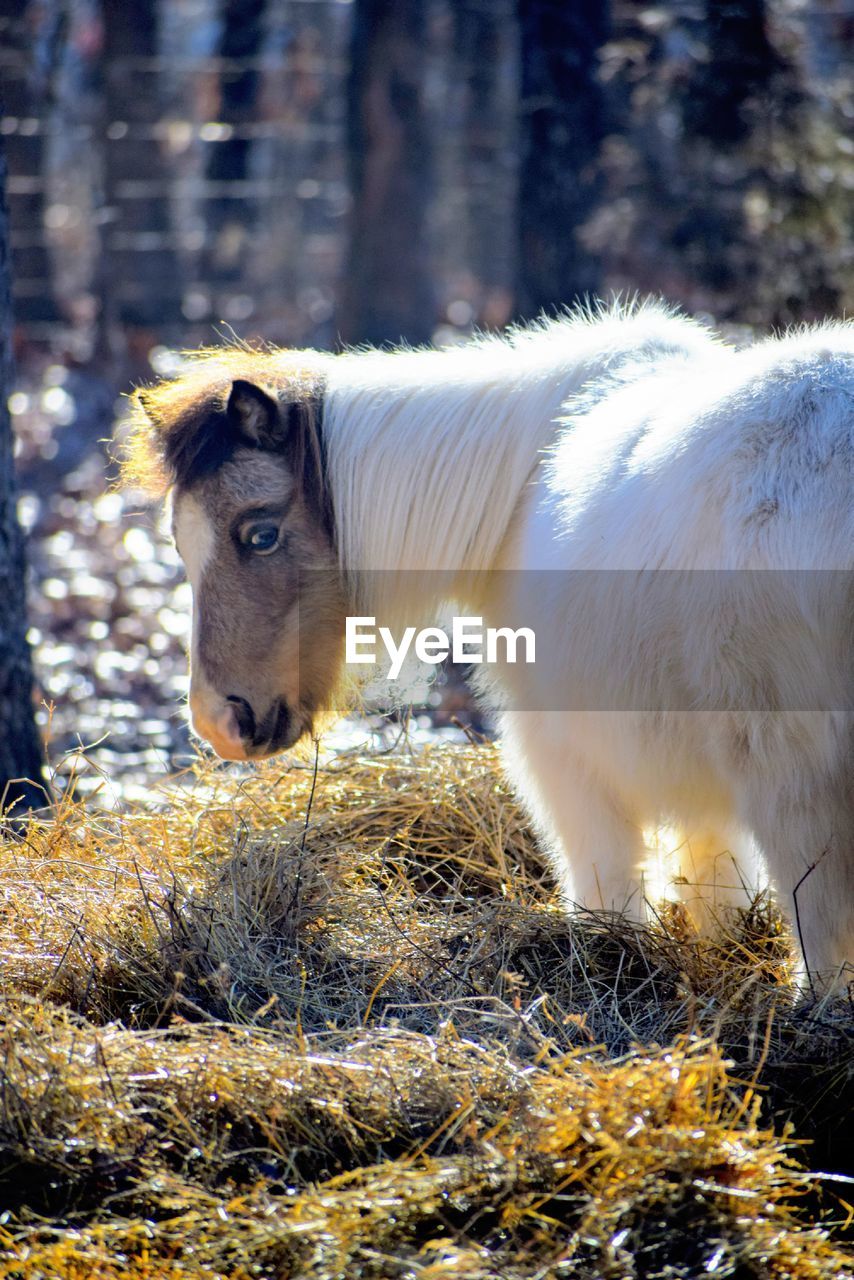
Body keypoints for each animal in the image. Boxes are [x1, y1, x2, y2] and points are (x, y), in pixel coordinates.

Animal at [125, 299, 854, 988]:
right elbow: (712, 879)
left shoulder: (564, 755)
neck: (523, 485)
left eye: (261, 535)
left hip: (793, 772)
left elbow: (609, 881)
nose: (217, 723)